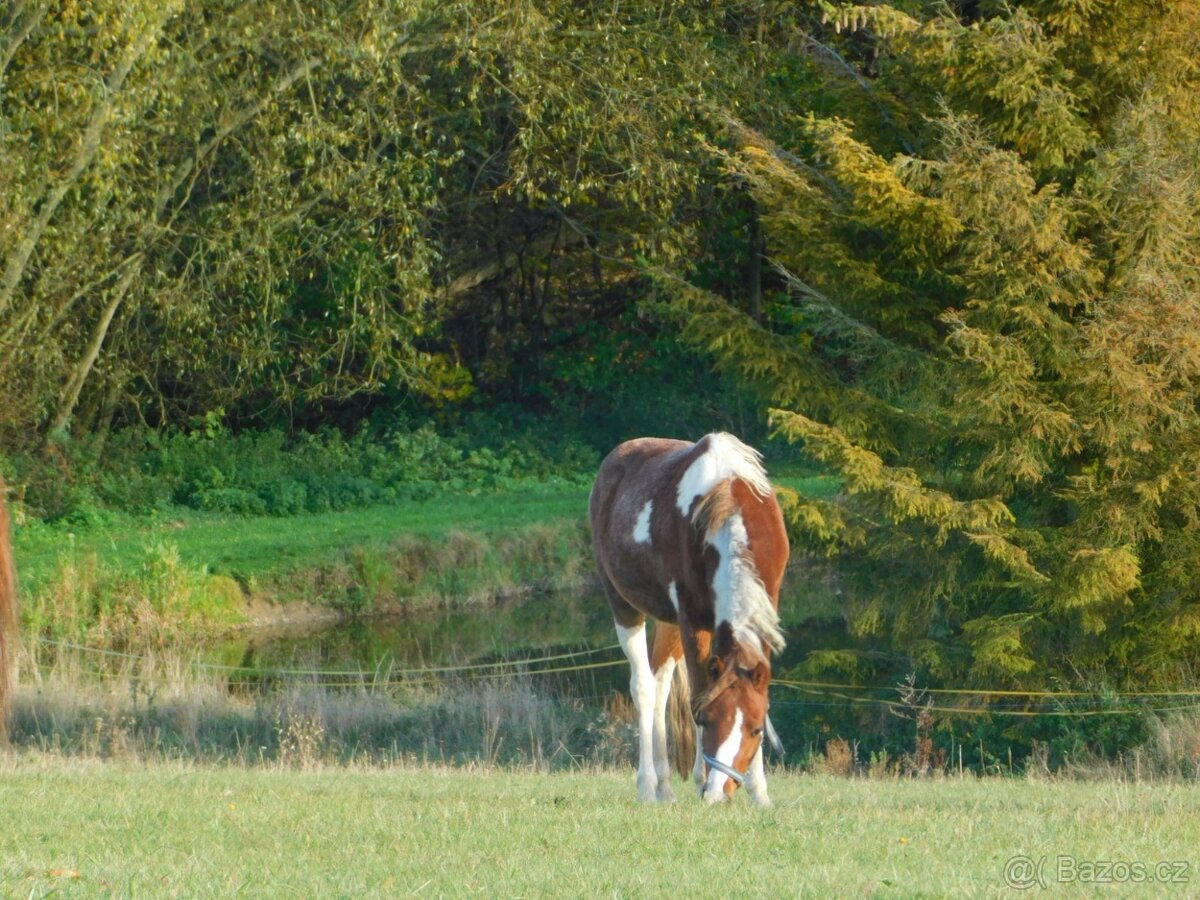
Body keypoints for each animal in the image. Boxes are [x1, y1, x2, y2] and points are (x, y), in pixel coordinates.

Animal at [589, 432, 788, 805]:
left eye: (756, 729)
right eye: (707, 721)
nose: (719, 791)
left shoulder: (766, 609)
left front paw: (759, 793)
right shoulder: (692, 620)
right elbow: (698, 691)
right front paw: (701, 779)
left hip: (668, 624)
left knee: (661, 685)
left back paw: (666, 788)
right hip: (624, 606)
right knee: (643, 687)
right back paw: (648, 786)